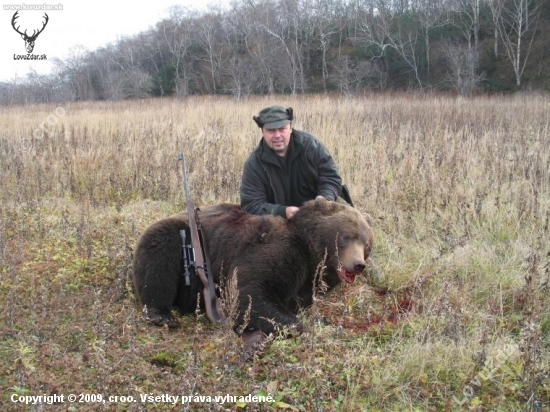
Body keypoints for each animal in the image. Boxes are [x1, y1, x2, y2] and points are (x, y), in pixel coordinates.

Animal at [134, 198, 376, 352]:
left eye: (366, 243)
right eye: (346, 236)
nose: (358, 264)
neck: (310, 253)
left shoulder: (307, 283)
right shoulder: (280, 250)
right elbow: (248, 290)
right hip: (175, 238)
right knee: (157, 262)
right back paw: (161, 314)